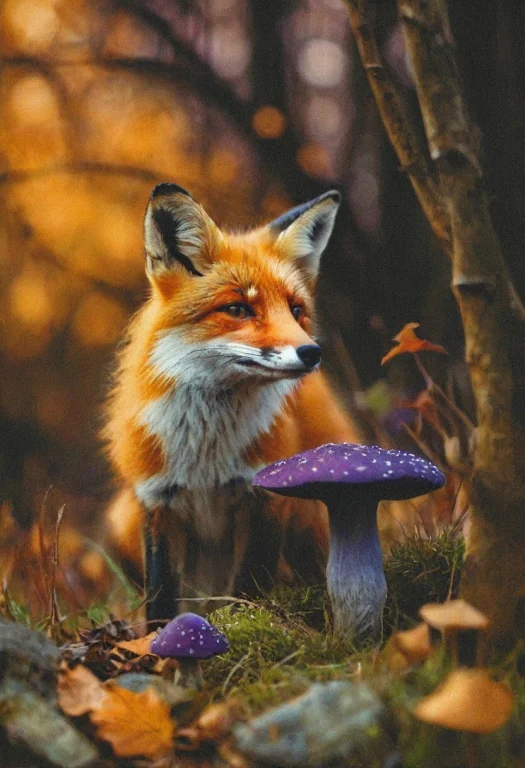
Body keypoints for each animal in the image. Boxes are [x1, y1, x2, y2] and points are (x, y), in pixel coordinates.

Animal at [103, 183, 363, 623]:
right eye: (238, 309)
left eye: (296, 309)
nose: (311, 353)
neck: (208, 453)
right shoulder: (156, 499)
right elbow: (161, 595)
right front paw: (159, 637)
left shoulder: (265, 496)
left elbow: (249, 586)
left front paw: (243, 623)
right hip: (120, 521)